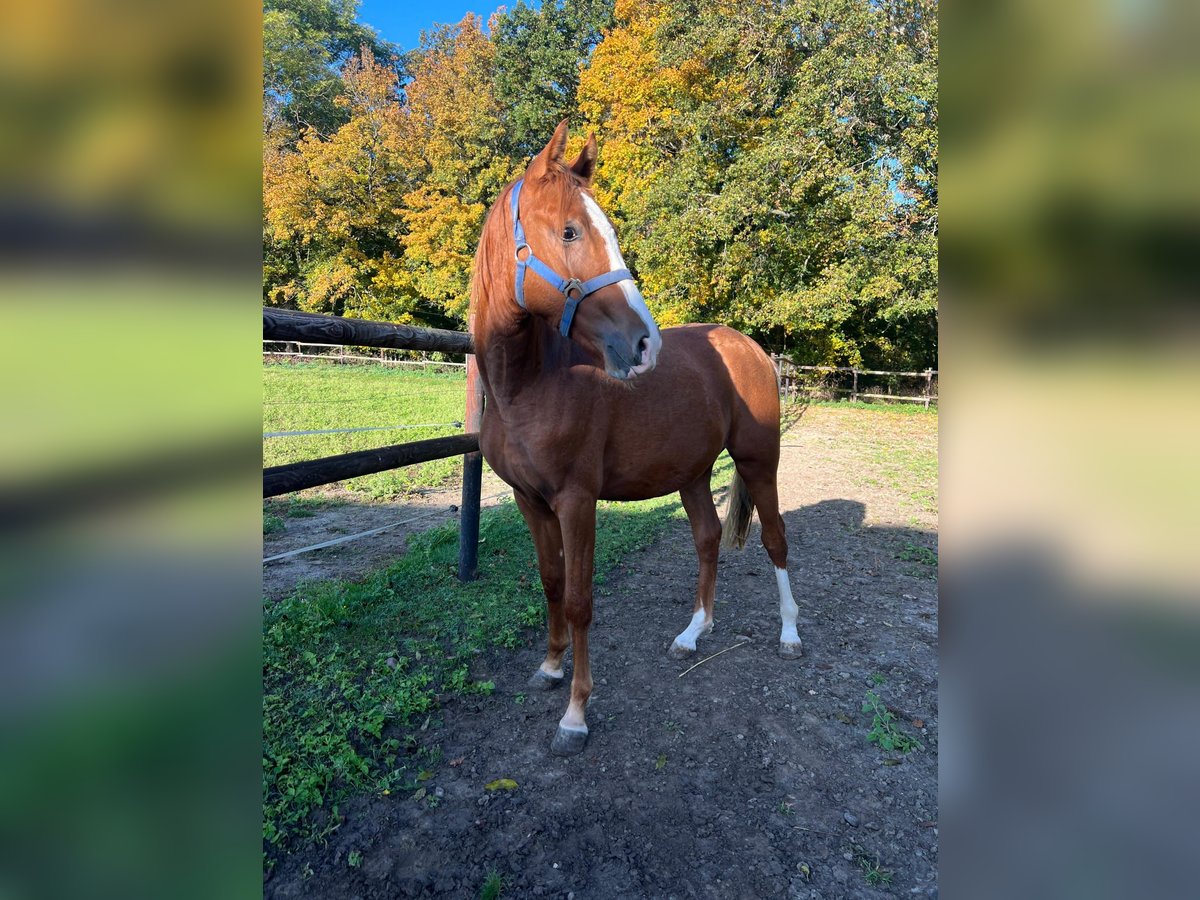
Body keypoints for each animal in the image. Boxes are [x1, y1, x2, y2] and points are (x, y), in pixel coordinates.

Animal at [472, 120, 801, 753]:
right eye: (570, 230)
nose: (645, 342)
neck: (530, 383)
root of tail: (747, 345)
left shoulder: (576, 501)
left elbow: (580, 600)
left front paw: (576, 713)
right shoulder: (530, 501)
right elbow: (551, 583)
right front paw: (550, 668)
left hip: (757, 461)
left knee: (775, 539)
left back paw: (791, 633)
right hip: (693, 472)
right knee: (707, 539)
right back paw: (694, 633)